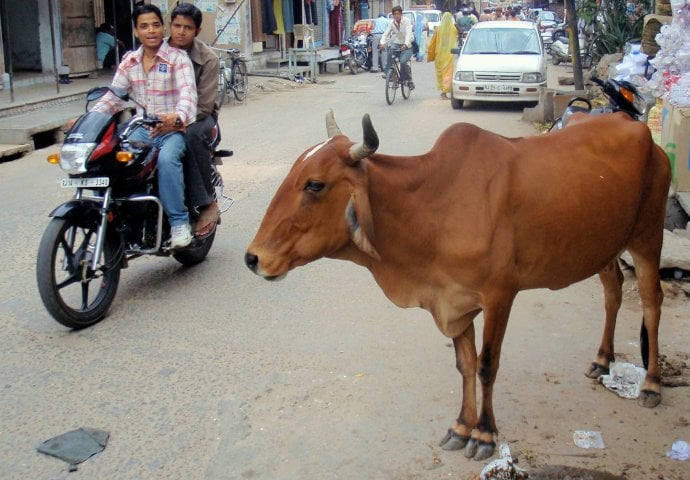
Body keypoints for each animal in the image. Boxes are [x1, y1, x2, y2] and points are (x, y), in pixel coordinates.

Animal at [245, 111, 668, 462]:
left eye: (315, 185)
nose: (253, 258)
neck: (433, 207)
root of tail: (639, 128)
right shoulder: (453, 300)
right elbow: (464, 364)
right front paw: (462, 426)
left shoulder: (500, 296)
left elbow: (486, 366)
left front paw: (484, 434)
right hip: (604, 246)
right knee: (613, 290)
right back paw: (602, 360)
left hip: (647, 237)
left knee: (652, 301)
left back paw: (651, 385)